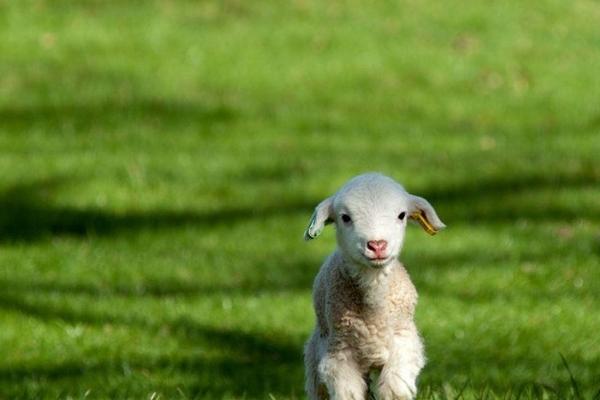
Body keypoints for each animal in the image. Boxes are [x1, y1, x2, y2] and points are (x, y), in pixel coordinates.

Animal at [304, 173, 446, 400]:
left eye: (401, 215)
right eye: (345, 217)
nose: (377, 245)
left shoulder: (403, 342)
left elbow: (396, 390)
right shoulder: (339, 353)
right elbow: (348, 394)